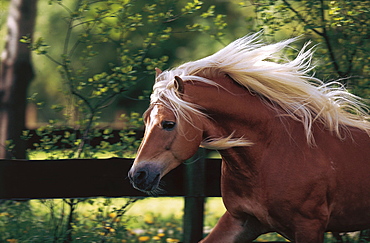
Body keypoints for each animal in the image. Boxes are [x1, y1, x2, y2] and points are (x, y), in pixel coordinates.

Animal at [128, 32, 370, 243]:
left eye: (168, 124)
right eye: (145, 120)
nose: (137, 175)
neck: (272, 152)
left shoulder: (309, 226)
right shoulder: (242, 221)